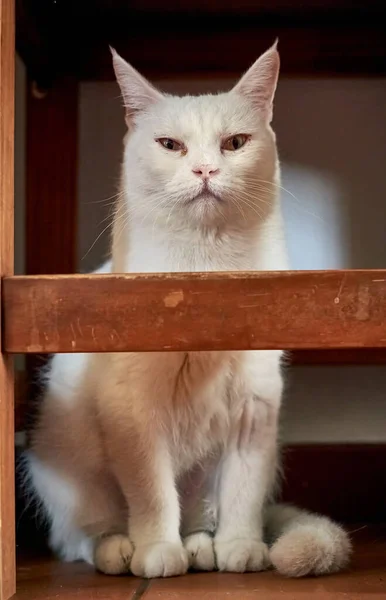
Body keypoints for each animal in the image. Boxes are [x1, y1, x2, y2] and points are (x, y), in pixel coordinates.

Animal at [23, 42, 350, 576]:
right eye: (170, 145)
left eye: (235, 143)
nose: (205, 171)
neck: (204, 275)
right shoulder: (133, 418)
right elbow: (153, 495)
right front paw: (158, 551)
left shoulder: (255, 412)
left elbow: (242, 494)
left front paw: (241, 548)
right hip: (68, 465)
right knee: (80, 536)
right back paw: (121, 551)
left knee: (201, 514)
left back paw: (202, 548)